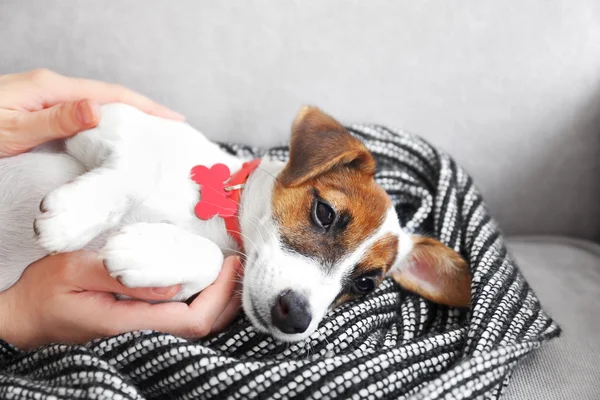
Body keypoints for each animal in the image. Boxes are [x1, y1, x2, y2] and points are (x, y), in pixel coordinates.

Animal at [0, 104, 472, 342]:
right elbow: (138, 164)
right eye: (325, 213)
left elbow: (209, 261)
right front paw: (75, 214)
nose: (294, 318)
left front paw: (144, 250)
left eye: (365, 284)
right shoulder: (104, 119)